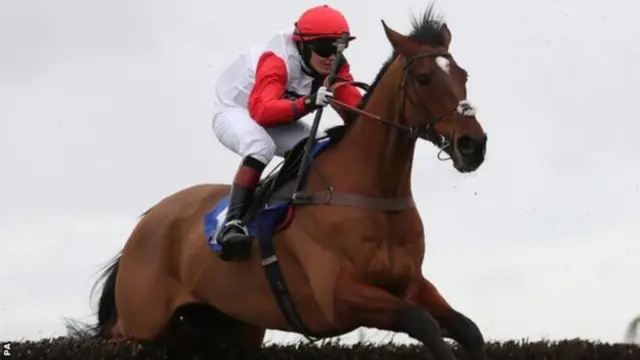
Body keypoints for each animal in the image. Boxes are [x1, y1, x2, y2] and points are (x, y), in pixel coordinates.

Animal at [67, 3, 490, 360]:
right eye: (423, 78)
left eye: (464, 75)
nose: (473, 145)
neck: (370, 193)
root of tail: (147, 222)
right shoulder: (339, 296)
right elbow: (424, 325)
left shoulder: (413, 285)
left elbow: (468, 330)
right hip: (140, 326)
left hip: (230, 326)